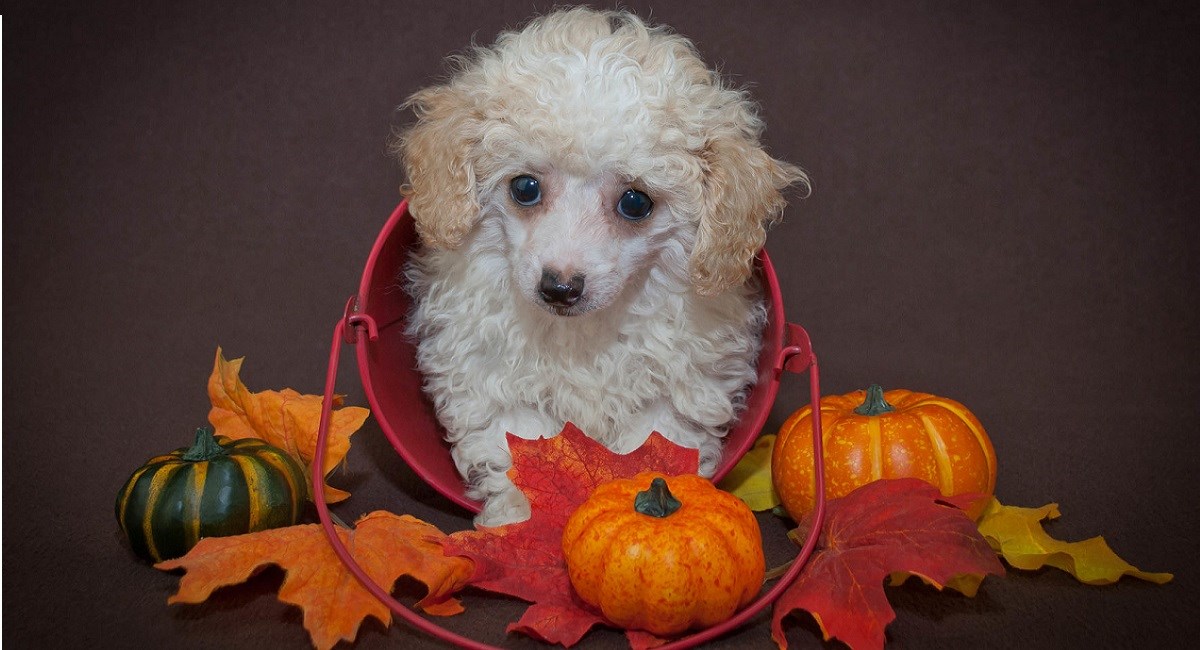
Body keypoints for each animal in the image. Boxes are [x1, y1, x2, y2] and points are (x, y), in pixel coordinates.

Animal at [393, 7, 806, 527]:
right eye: (524, 188)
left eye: (635, 202)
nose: (560, 287)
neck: (582, 337)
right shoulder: (487, 378)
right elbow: (516, 443)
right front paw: (519, 521)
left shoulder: (678, 389)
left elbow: (653, 448)